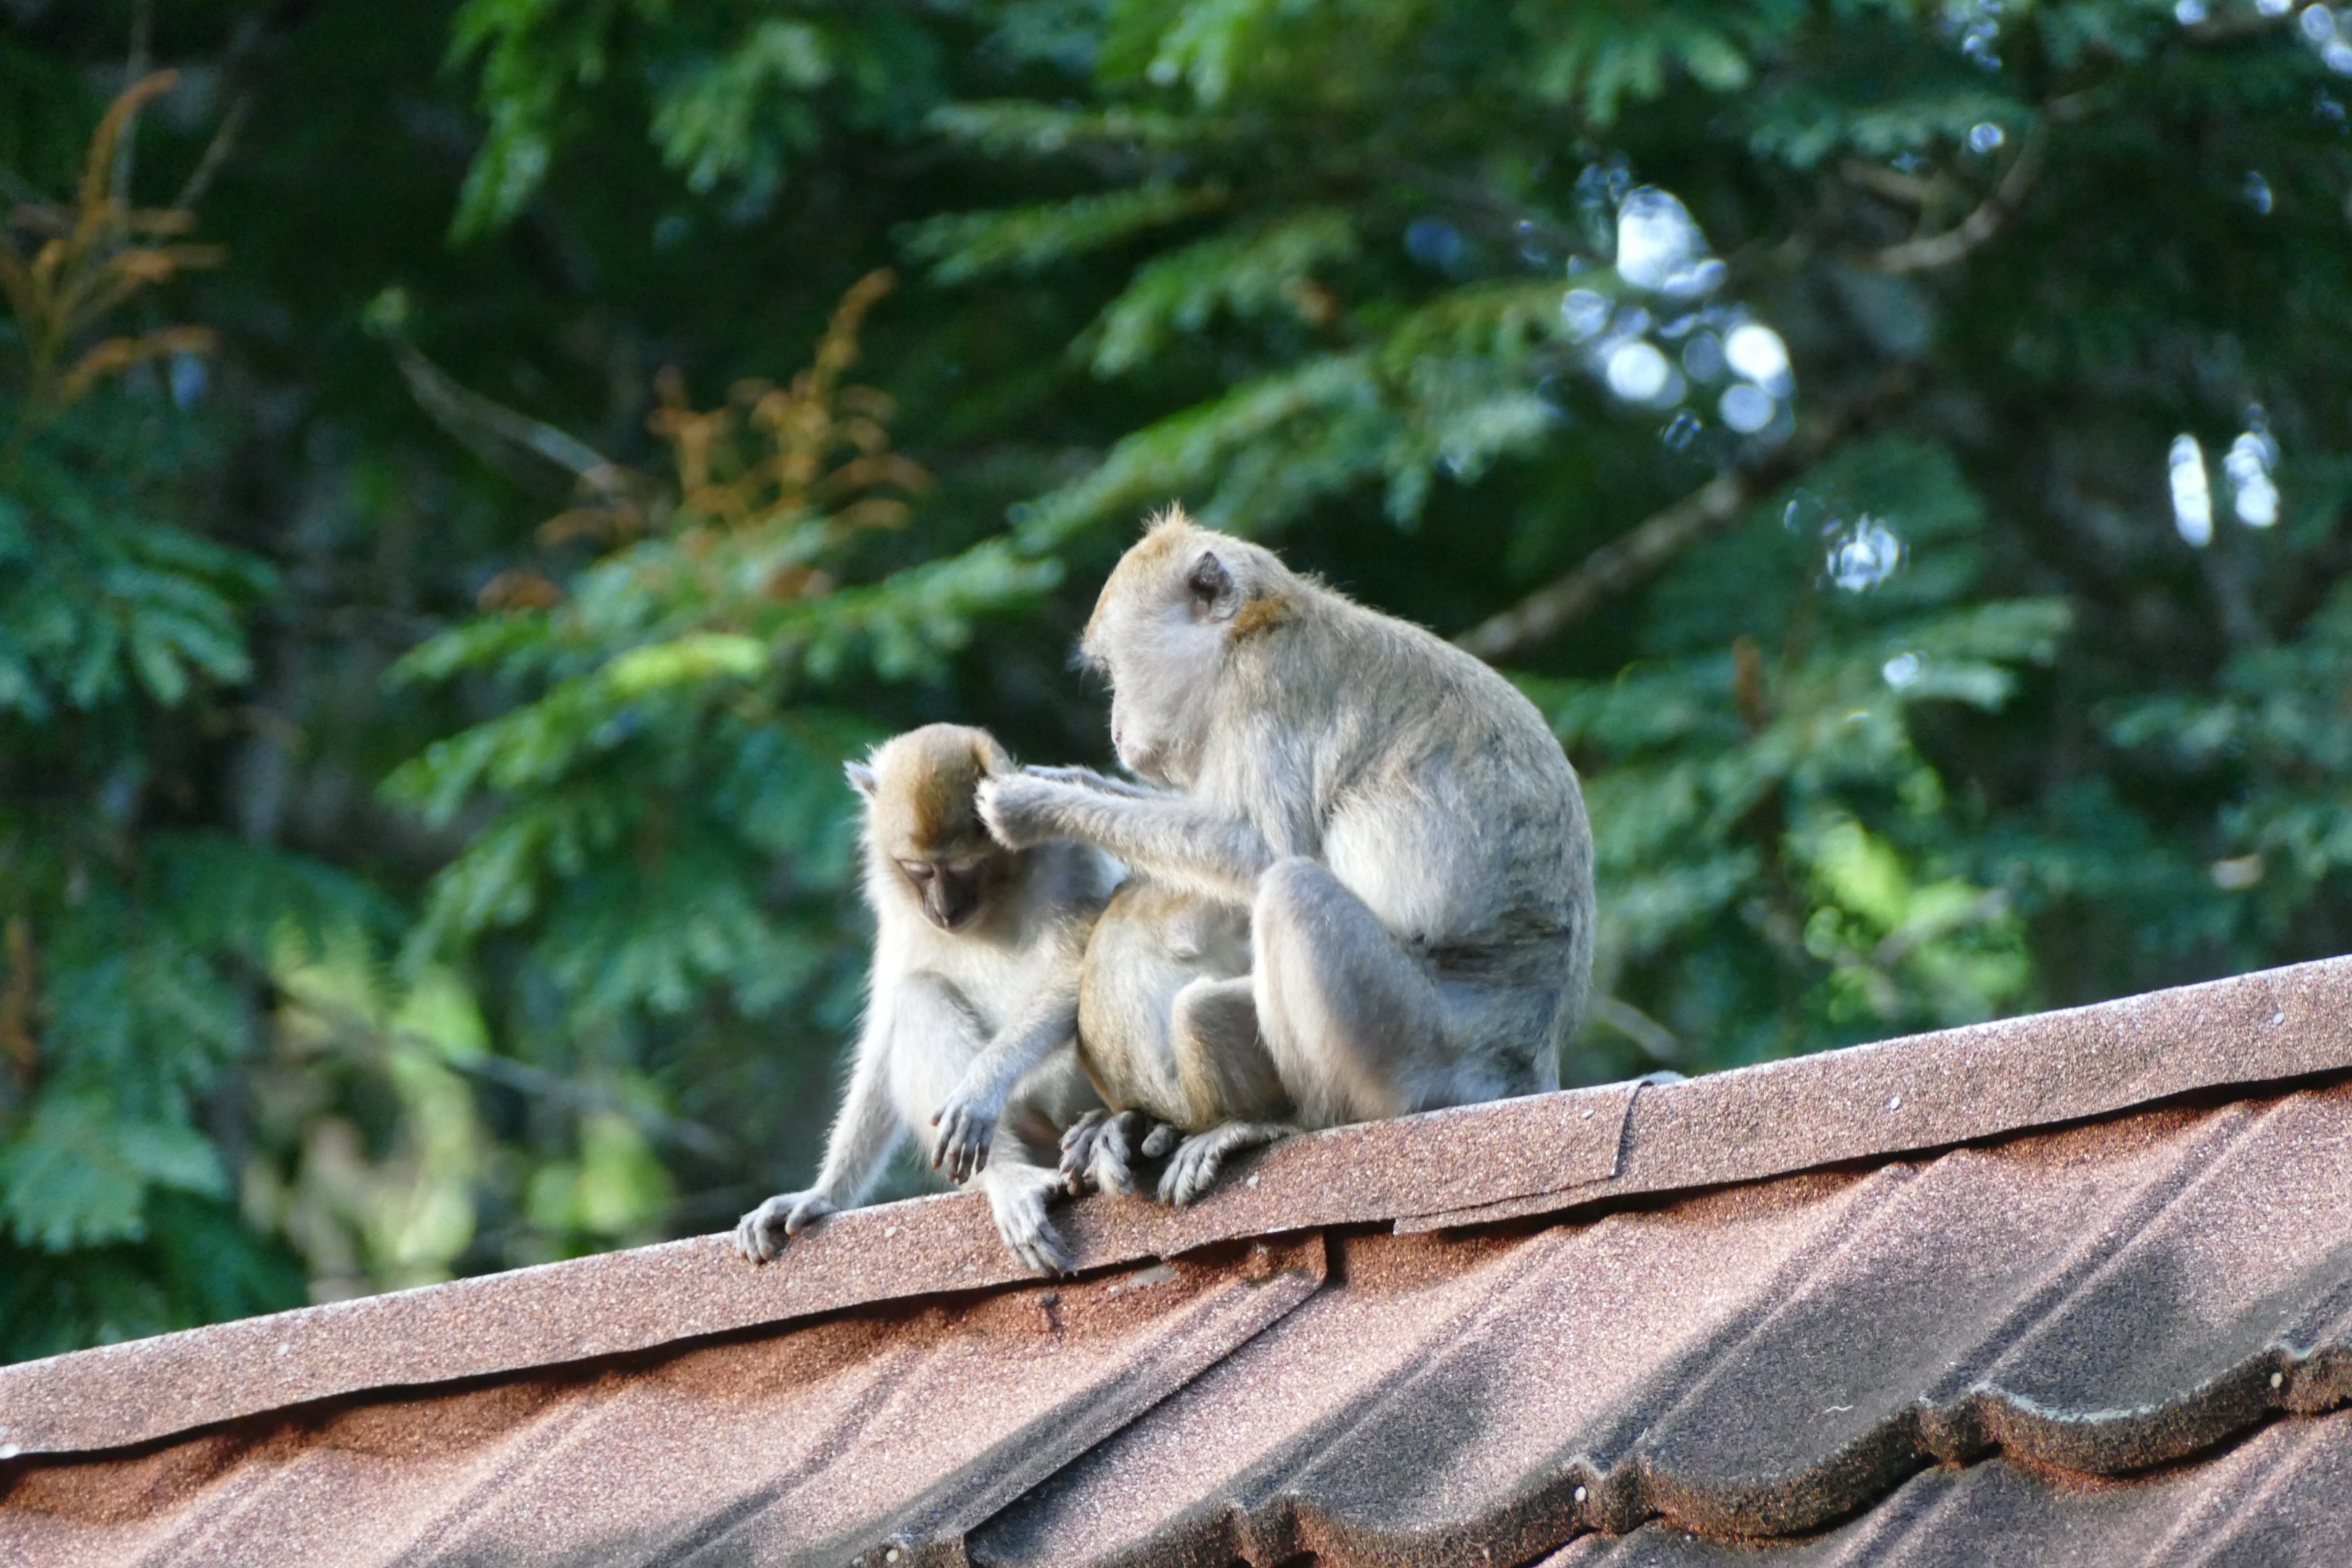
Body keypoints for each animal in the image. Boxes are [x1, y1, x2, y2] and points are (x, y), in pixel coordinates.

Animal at [734, 724, 1117, 1276]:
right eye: (918, 870)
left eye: (966, 867)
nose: (944, 911)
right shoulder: (895, 906)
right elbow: (882, 1036)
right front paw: (821, 1194)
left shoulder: (1069, 847)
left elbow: (1081, 967)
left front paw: (982, 1084)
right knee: (918, 994)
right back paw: (1008, 1178)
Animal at [979, 506, 1596, 1204]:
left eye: (1116, 669)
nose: (1114, 727)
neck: (1250, 629)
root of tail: (1526, 1059)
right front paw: (1071, 780)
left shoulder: (1261, 692)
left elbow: (1258, 848)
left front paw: (1032, 805)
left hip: (1423, 1043)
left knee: (1292, 889)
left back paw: (1286, 1123)